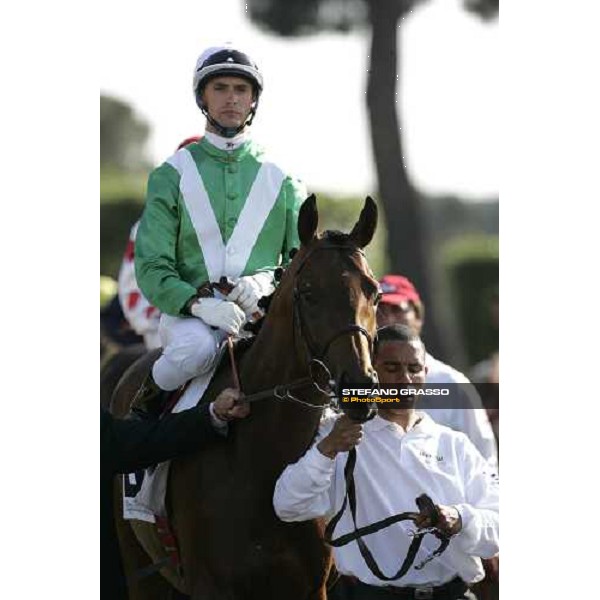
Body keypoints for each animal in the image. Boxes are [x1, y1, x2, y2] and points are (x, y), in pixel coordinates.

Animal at [110, 197, 380, 600]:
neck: (264, 460)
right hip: (140, 568)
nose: (359, 386)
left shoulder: (309, 586)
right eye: (308, 292)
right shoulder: (210, 584)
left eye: (374, 292)